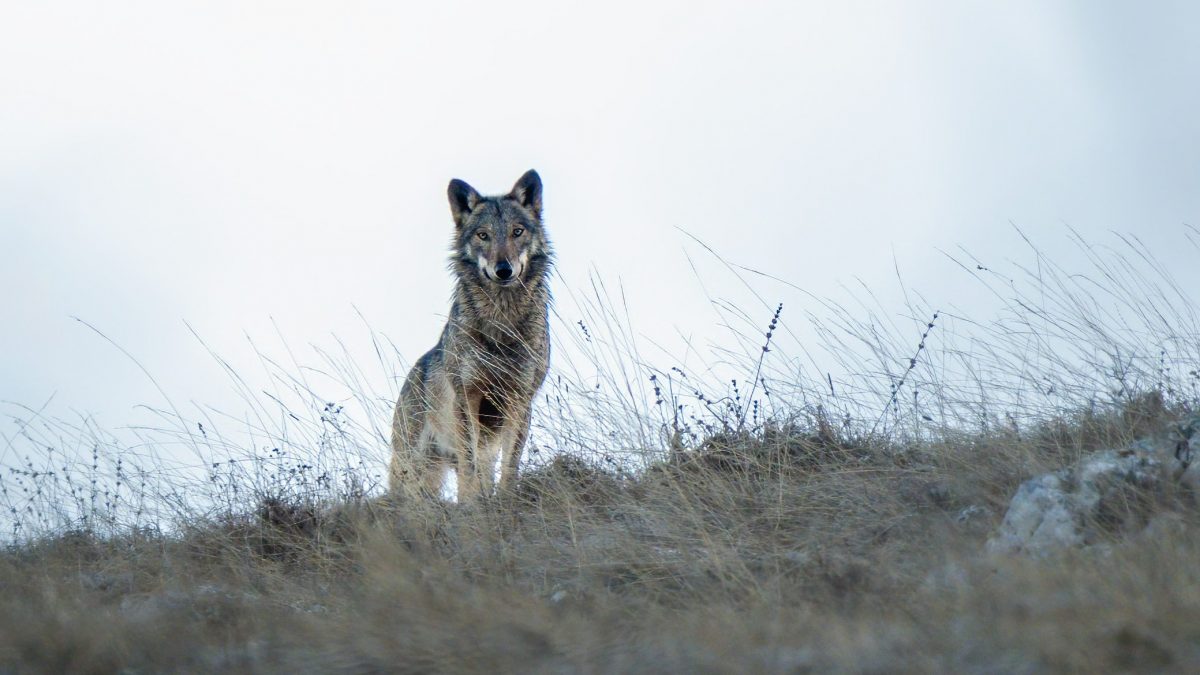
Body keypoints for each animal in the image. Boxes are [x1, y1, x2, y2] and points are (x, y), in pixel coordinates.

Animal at [389, 170, 552, 502]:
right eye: (483, 235)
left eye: (517, 232)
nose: (503, 270)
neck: (501, 322)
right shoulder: (467, 395)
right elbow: (469, 464)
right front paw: (470, 504)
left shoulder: (521, 399)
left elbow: (511, 464)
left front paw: (506, 500)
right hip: (414, 467)